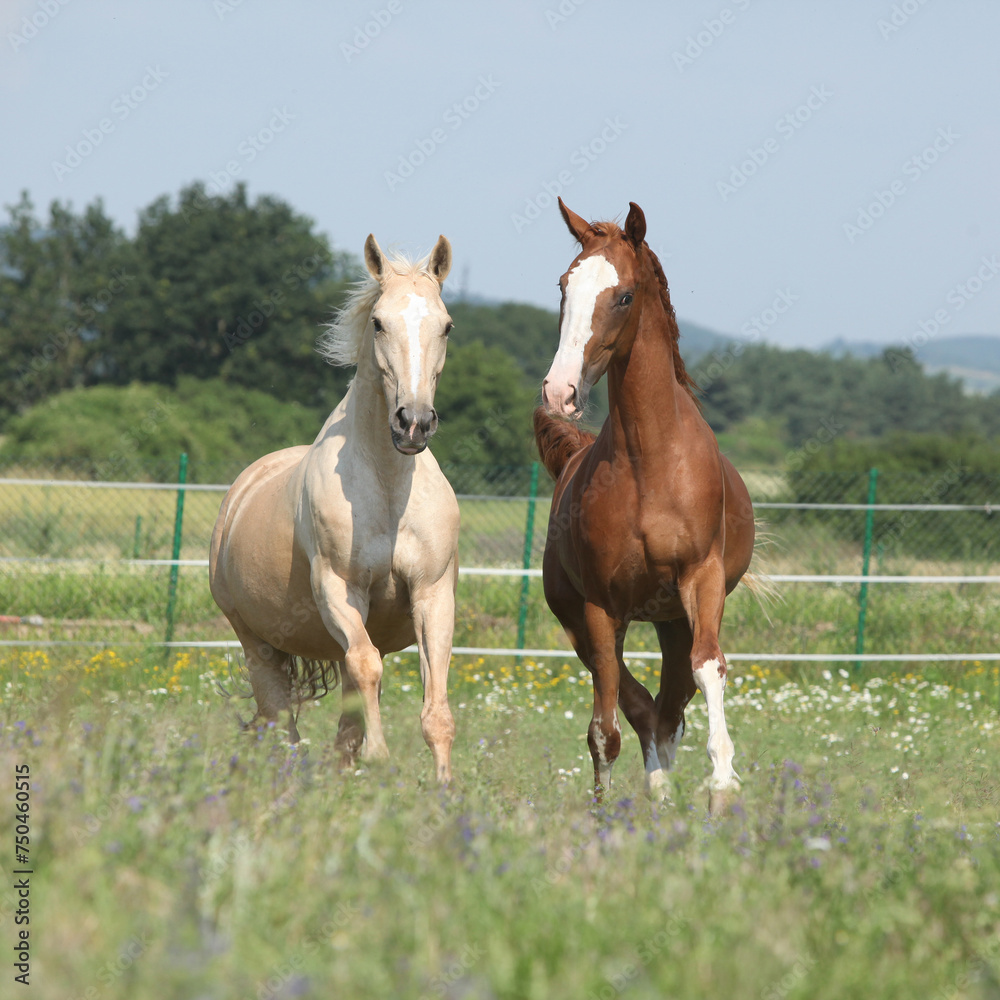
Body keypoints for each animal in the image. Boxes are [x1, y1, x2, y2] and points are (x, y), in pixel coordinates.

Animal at [209, 233, 459, 782]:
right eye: (379, 322)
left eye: (446, 324)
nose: (414, 422)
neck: (388, 491)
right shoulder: (339, 590)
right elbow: (368, 669)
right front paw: (380, 758)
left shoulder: (432, 595)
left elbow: (435, 708)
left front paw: (445, 790)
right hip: (256, 644)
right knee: (281, 721)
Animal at [533, 199, 756, 813]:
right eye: (563, 286)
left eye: (625, 296)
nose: (560, 391)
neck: (651, 461)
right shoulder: (600, 608)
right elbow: (606, 727)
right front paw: (607, 812)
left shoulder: (701, 580)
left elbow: (710, 668)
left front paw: (723, 785)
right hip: (587, 623)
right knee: (640, 707)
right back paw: (656, 793)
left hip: (672, 620)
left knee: (670, 704)